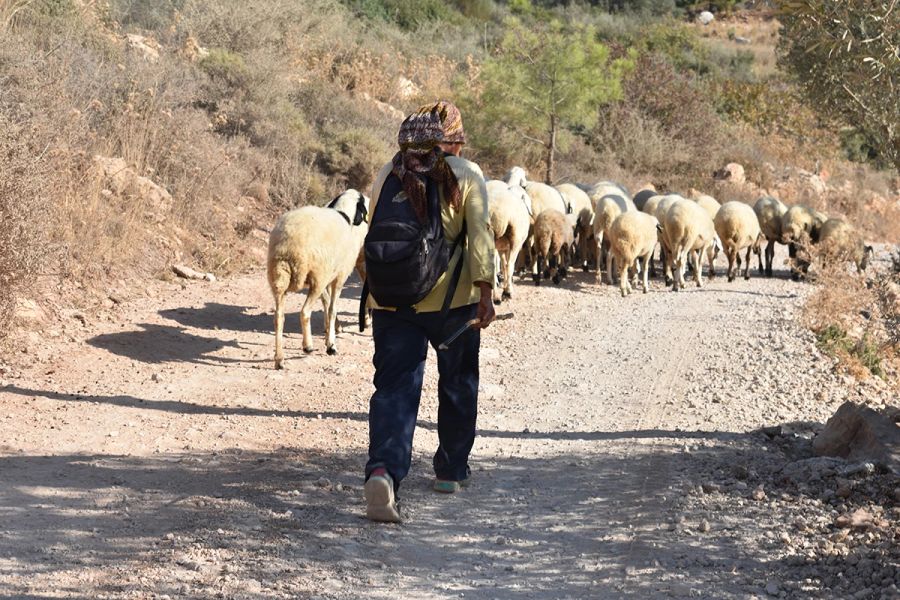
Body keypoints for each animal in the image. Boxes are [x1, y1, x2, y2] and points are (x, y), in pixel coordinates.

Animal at [268, 188, 370, 368]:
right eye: (363, 201)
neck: (344, 215)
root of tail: (287, 245)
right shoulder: (337, 276)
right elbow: (332, 308)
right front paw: (331, 344)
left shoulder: (326, 276)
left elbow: (326, 303)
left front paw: (330, 333)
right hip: (316, 277)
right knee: (304, 311)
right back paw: (307, 346)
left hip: (278, 278)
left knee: (279, 317)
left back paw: (279, 359)